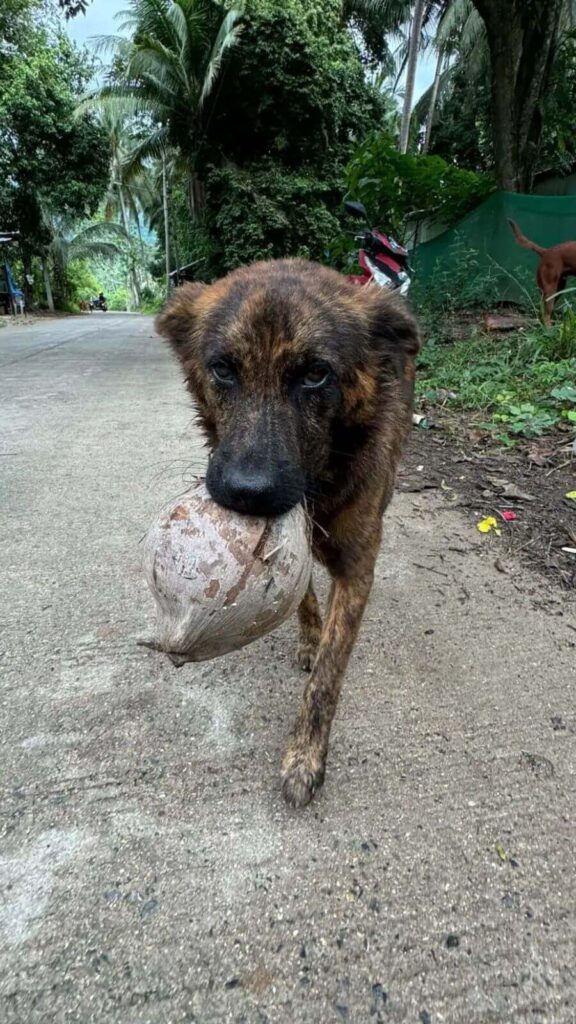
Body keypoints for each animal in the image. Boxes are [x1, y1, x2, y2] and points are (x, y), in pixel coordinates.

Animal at [154, 260, 420, 811]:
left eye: (316, 373)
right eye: (223, 368)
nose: (248, 493)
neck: (319, 482)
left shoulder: (358, 567)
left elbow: (327, 678)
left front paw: (305, 758)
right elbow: (303, 596)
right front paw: (309, 638)